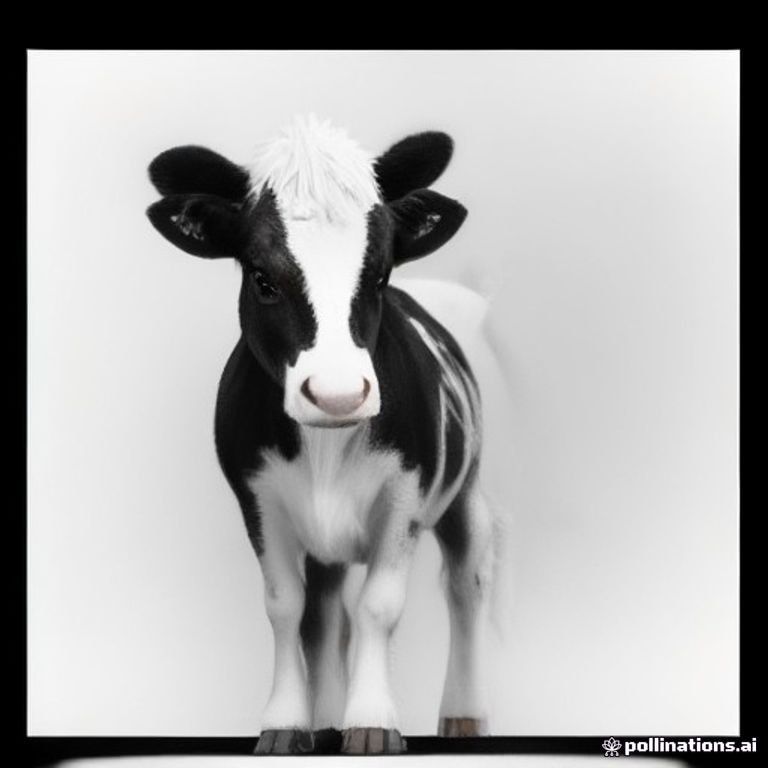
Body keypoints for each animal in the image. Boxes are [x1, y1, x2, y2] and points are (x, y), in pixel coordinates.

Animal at [146, 115, 498, 755]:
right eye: (262, 278)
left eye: (379, 274)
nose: (337, 393)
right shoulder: (257, 500)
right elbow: (288, 609)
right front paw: (287, 723)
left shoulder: (406, 497)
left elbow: (379, 606)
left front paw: (373, 723)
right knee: (327, 614)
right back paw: (328, 716)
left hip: (467, 489)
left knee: (468, 580)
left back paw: (464, 713)